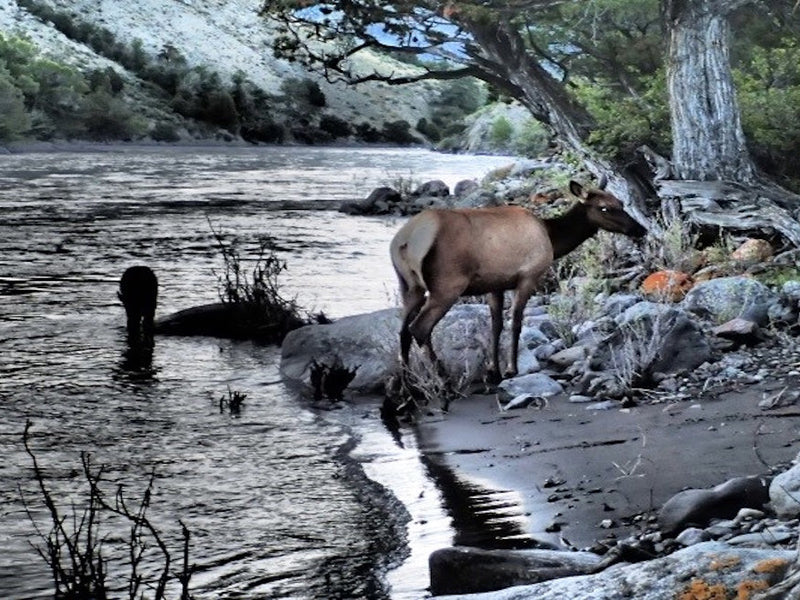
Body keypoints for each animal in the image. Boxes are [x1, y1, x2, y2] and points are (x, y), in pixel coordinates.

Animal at [390, 179, 647, 384]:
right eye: (605, 208)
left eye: (621, 203)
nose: (640, 229)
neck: (552, 238)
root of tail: (407, 240)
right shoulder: (528, 277)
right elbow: (516, 323)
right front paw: (511, 369)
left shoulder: (495, 285)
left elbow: (495, 325)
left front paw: (494, 370)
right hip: (447, 285)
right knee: (419, 328)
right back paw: (443, 381)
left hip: (408, 286)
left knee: (403, 330)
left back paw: (407, 383)